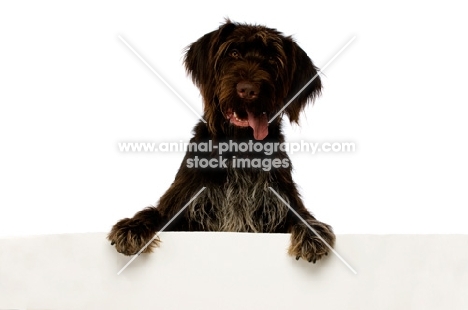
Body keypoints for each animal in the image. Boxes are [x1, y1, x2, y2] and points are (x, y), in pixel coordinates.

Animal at [109, 19, 336, 262]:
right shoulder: (180, 206)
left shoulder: (284, 203)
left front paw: (312, 234)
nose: (248, 90)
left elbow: (302, 216)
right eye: (233, 52)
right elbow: (156, 213)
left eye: (273, 60)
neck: (239, 149)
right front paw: (132, 226)